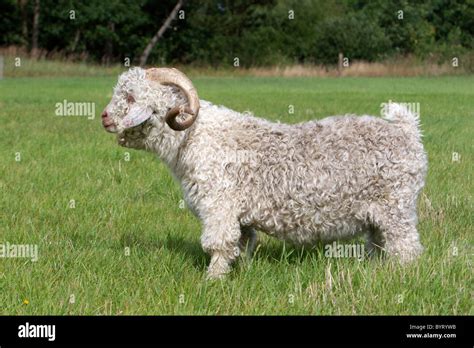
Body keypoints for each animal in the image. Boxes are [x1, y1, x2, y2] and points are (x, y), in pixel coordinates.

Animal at [102, 67, 428, 280]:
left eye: (130, 97)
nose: (105, 117)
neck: (195, 137)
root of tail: (406, 130)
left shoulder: (220, 207)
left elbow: (218, 244)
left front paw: (211, 280)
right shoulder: (240, 216)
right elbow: (242, 244)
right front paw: (239, 273)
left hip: (396, 207)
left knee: (407, 248)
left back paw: (402, 277)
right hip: (377, 213)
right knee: (379, 242)